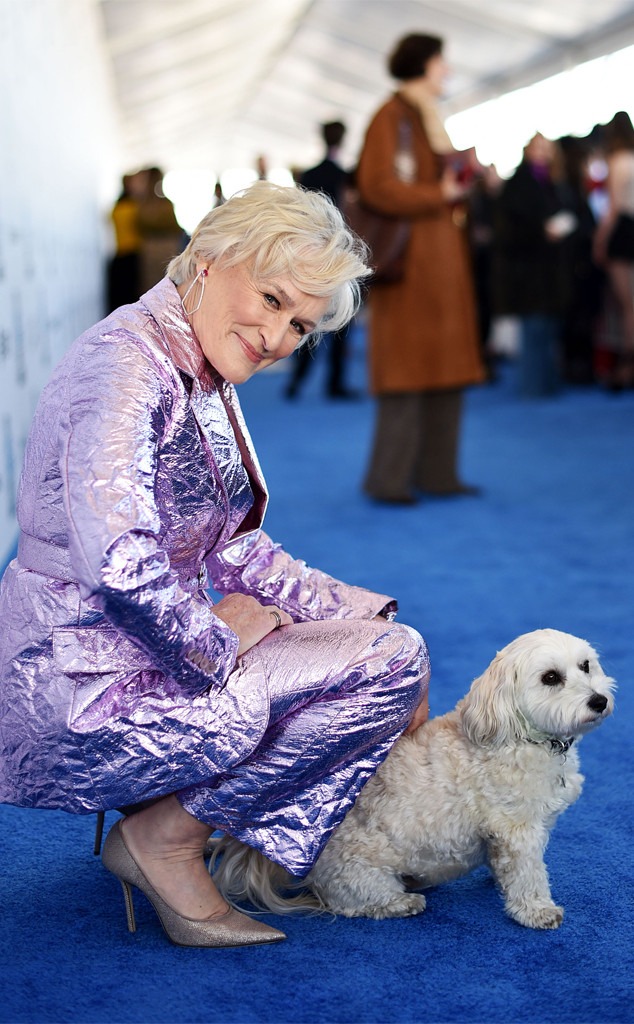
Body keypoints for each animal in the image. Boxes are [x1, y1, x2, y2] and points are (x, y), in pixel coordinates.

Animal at [212, 626, 614, 933]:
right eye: (551, 678)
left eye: (585, 666)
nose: (599, 701)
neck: (519, 736)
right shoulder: (517, 829)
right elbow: (529, 874)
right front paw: (537, 910)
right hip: (357, 870)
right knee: (352, 902)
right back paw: (401, 902)